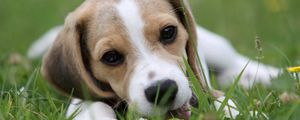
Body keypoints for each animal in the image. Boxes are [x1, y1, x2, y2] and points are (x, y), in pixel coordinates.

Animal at [28, 0, 278, 118]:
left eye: (168, 32)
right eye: (111, 57)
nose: (163, 90)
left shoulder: (204, 91)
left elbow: (224, 103)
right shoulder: (82, 101)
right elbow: (97, 107)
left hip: (217, 48)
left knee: (236, 62)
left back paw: (268, 75)